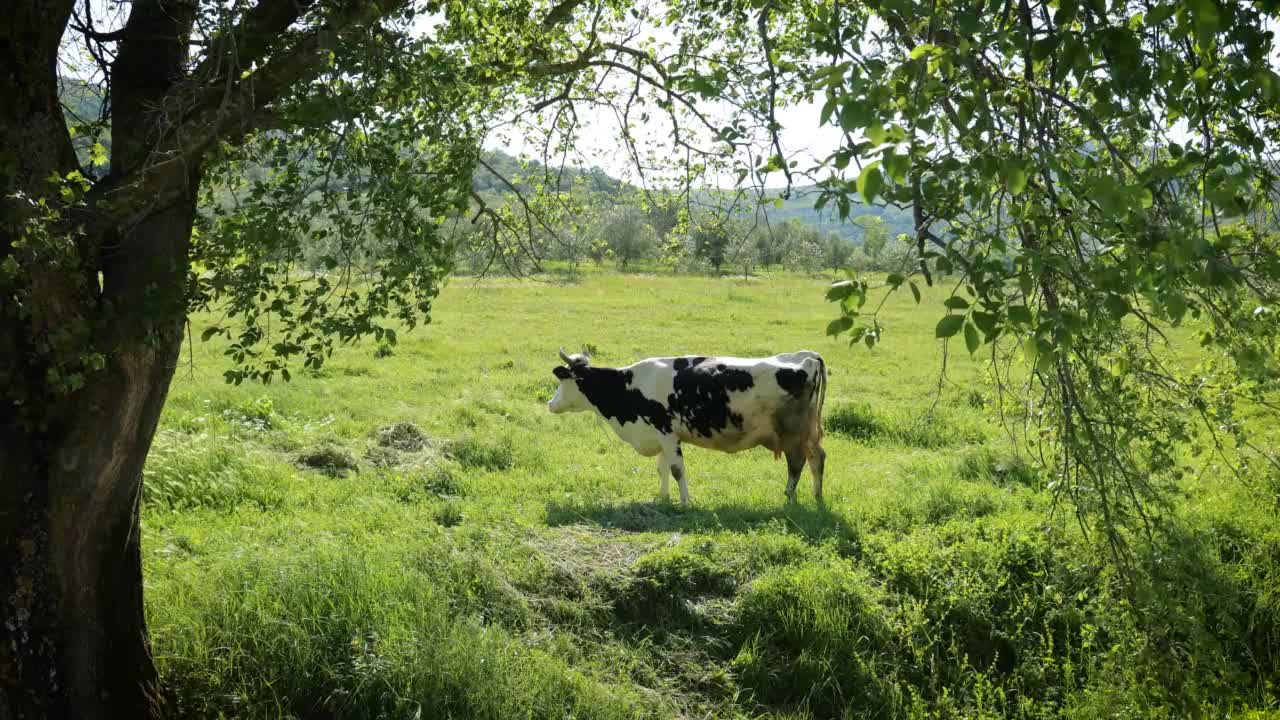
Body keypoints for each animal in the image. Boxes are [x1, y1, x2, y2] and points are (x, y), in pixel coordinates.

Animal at [547, 345, 829, 502]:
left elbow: (677, 469)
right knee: (817, 457)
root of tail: (808, 356)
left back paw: (788, 497)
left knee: (797, 463)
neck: (630, 386)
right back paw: (817, 495)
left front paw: (686, 501)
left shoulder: (667, 432)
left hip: (791, 433)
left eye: (562, 380)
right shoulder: (661, 435)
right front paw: (663, 498)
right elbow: (662, 468)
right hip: (809, 432)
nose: (550, 404)